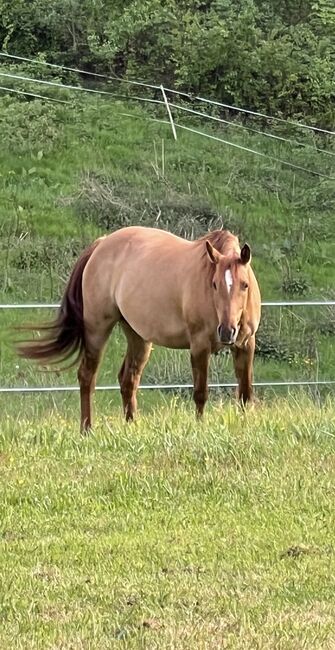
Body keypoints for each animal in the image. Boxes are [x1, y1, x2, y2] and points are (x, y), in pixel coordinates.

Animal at [16, 225, 262, 432]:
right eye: (214, 284)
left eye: (244, 285)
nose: (227, 331)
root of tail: (101, 244)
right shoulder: (199, 346)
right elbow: (201, 392)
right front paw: (199, 428)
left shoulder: (246, 345)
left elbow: (245, 393)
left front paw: (245, 427)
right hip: (97, 328)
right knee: (87, 376)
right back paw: (87, 429)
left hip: (138, 336)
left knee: (128, 379)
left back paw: (132, 426)